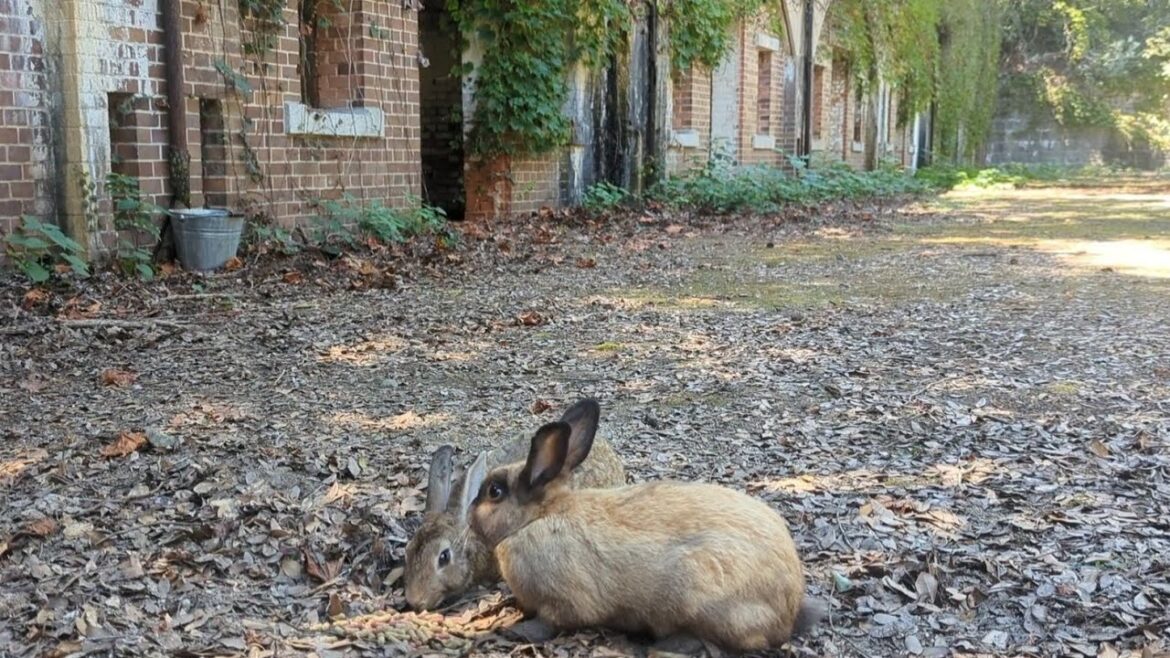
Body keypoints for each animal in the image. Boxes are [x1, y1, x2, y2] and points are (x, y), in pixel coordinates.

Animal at [468, 398, 822, 653]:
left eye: (494, 492)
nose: (469, 512)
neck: (537, 518)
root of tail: (787, 611)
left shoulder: (562, 603)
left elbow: (551, 621)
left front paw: (515, 630)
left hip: (695, 594)